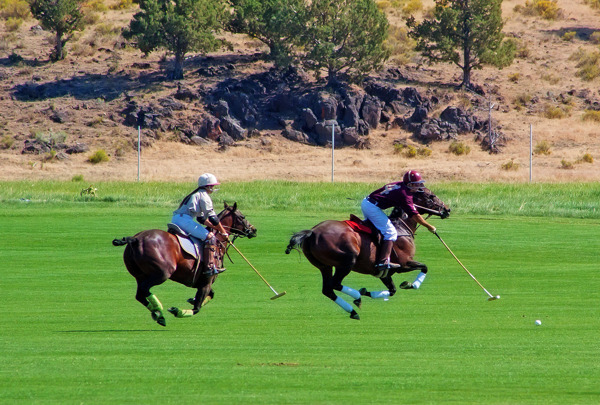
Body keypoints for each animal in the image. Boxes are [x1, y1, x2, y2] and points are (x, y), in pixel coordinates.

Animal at [112, 202, 255, 326]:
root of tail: (135, 239)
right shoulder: (207, 281)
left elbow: (210, 295)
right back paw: (159, 311)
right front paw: (178, 310)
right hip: (162, 273)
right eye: (242, 217)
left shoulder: (200, 282)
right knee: (144, 289)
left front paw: (191, 300)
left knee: (140, 294)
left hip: (139, 275)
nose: (254, 230)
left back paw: (158, 314)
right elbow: (197, 308)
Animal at [286, 189, 450, 318]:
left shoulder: (385, 273)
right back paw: (356, 298)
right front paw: (411, 284)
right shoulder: (403, 264)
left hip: (324, 266)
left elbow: (392, 290)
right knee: (335, 284)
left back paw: (353, 310)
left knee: (327, 289)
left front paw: (366, 291)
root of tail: (312, 232)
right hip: (347, 261)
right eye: (431, 196)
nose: (447, 210)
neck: (401, 227)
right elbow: (424, 267)